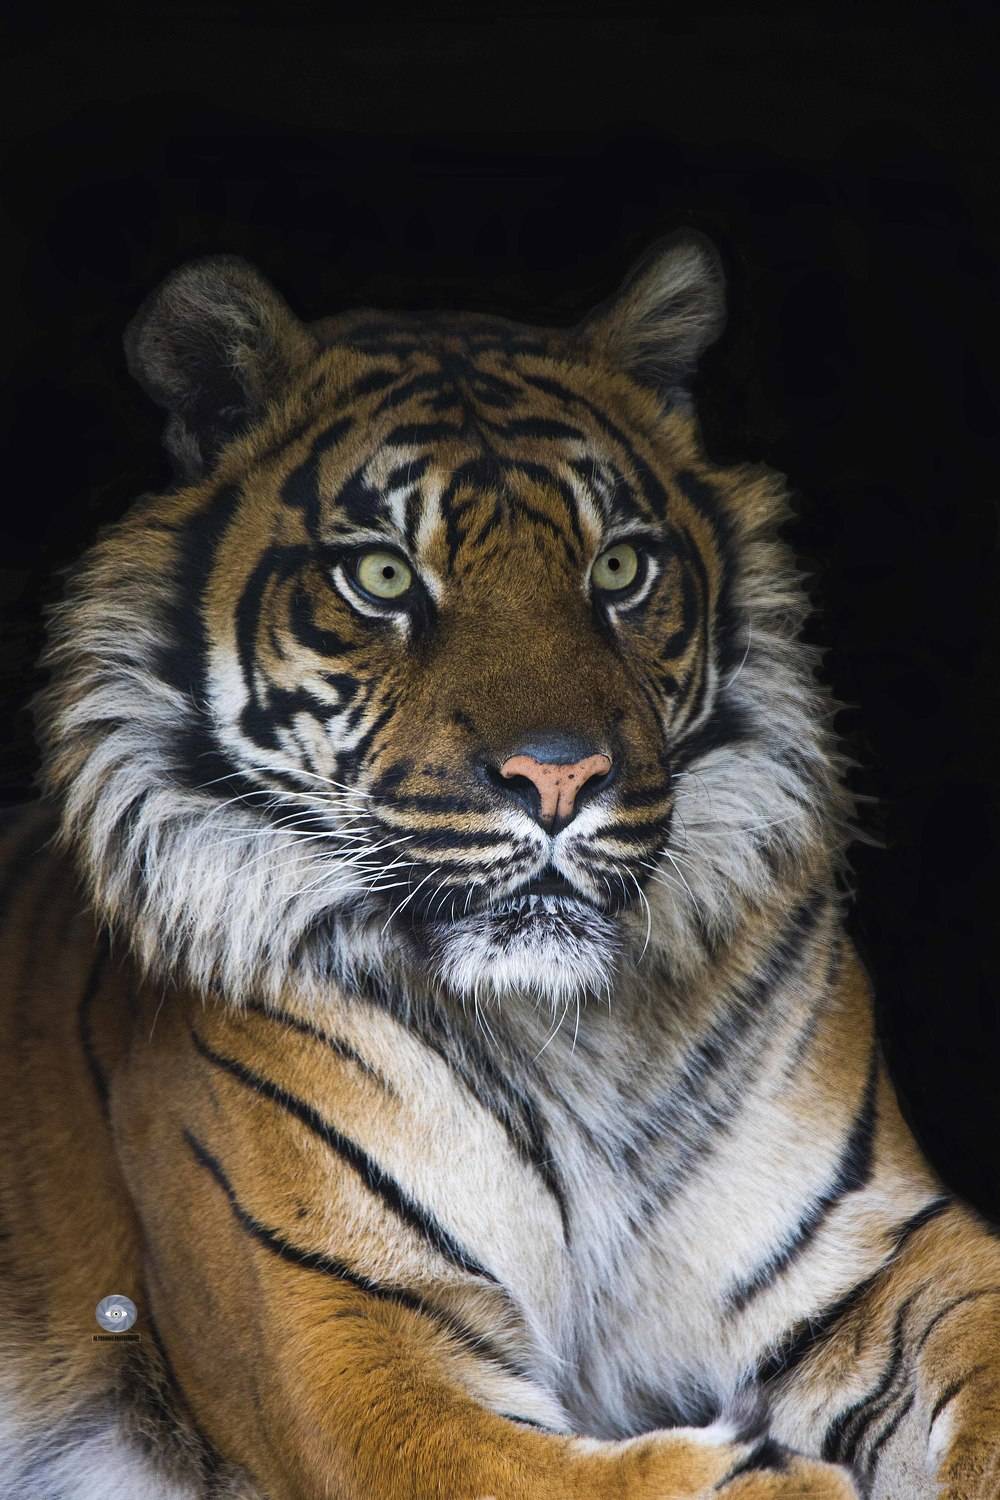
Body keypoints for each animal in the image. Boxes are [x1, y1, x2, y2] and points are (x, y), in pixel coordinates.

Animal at [0, 227, 998, 1500]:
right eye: (381, 578)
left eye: (618, 570)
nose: (559, 779)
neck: (568, 1034)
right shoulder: (348, 1341)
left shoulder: (875, 1248)